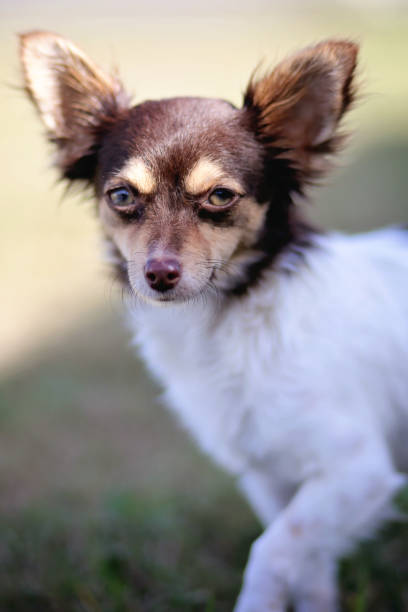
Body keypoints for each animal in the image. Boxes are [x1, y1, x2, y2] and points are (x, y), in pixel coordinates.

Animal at [19, 33, 408, 612]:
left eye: (220, 196)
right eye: (121, 196)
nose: (159, 273)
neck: (223, 321)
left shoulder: (357, 471)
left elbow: (272, 550)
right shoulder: (272, 478)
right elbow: (310, 567)